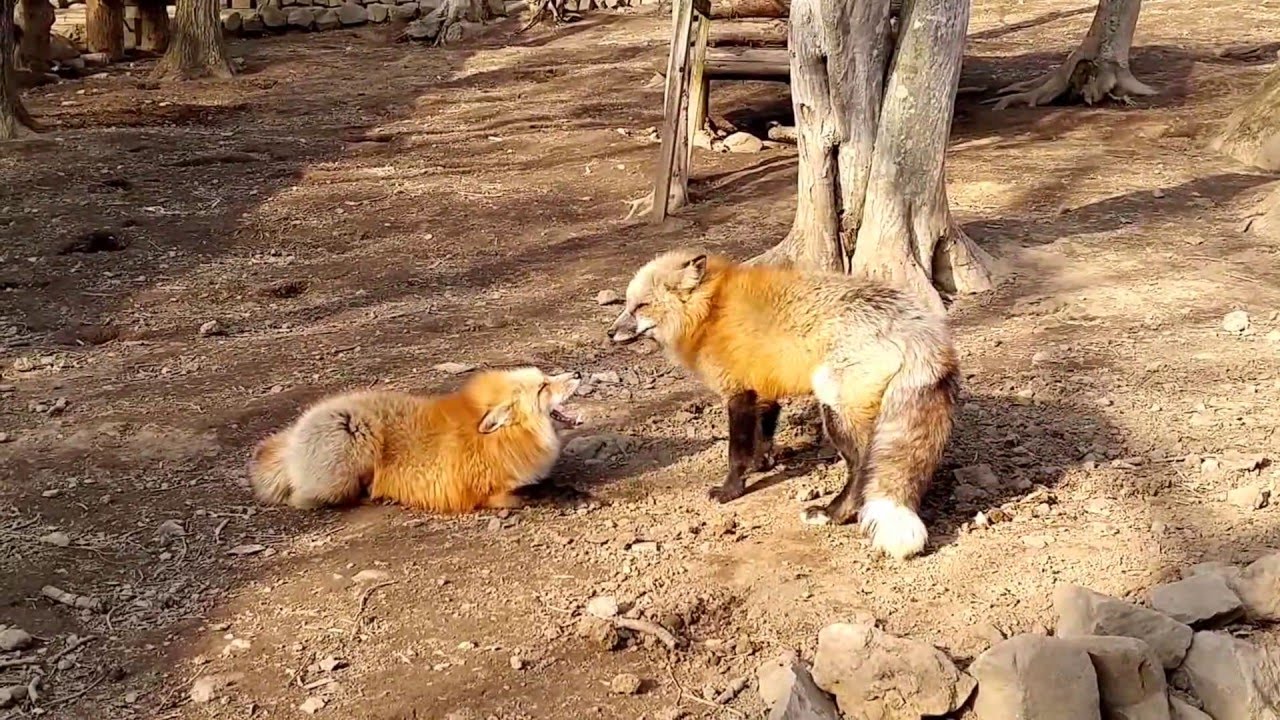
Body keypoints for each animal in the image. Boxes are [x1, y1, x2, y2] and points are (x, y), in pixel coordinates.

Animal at [248, 367, 583, 513]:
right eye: (543, 387)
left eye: (546, 377)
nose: (578, 373)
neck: (508, 440)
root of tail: (293, 435)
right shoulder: (486, 493)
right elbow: (537, 489)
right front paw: (570, 493)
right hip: (353, 435)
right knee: (308, 499)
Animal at [607, 249, 959, 560]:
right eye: (627, 305)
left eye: (641, 306)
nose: (610, 332)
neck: (709, 313)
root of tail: (923, 327)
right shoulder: (764, 389)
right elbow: (763, 435)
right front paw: (763, 463)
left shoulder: (738, 393)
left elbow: (736, 453)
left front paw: (731, 491)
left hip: (834, 408)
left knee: (862, 467)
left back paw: (833, 513)